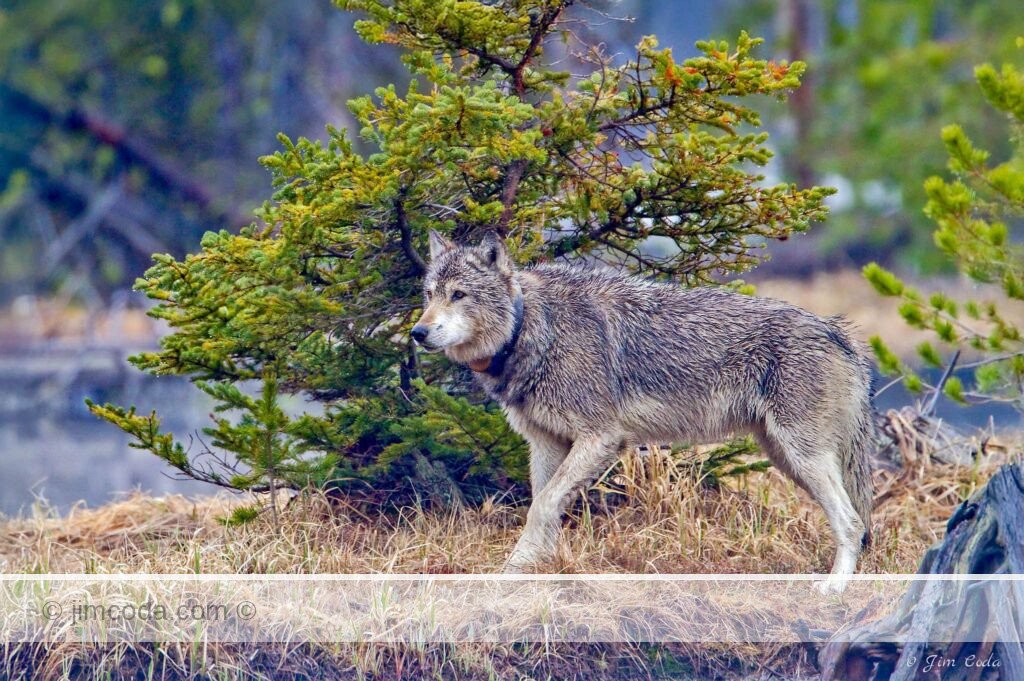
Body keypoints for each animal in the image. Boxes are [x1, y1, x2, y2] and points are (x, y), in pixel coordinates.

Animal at [411, 230, 875, 592]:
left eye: (459, 295)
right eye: (430, 295)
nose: (417, 332)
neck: (531, 327)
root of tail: (838, 332)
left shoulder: (600, 438)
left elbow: (541, 506)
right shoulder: (546, 444)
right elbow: (544, 508)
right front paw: (523, 570)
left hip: (802, 455)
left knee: (853, 523)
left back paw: (834, 588)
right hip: (786, 458)